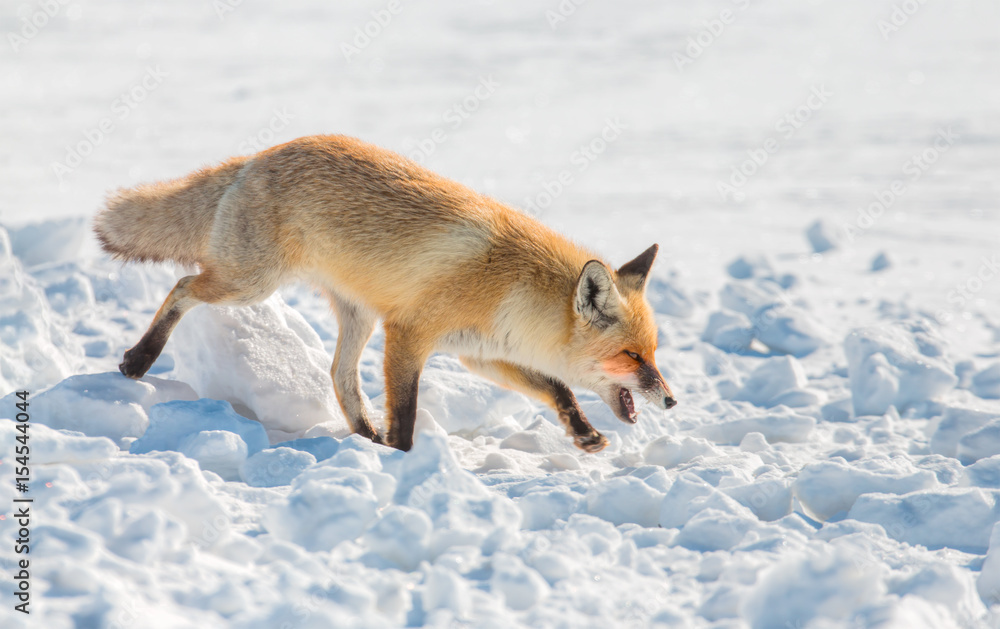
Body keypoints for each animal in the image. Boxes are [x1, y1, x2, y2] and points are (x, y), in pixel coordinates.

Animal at [94, 136, 676, 452]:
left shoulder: (481, 354)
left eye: (653, 354)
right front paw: (404, 459)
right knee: (182, 285)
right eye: (631, 356)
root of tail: (257, 155)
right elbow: (408, 413)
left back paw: (364, 436)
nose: (671, 400)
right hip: (249, 284)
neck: (514, 290)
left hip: (354, 315)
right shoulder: (409, 333)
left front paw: (583, 433)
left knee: (339, 374)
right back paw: (138, 360)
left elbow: (557, 389)